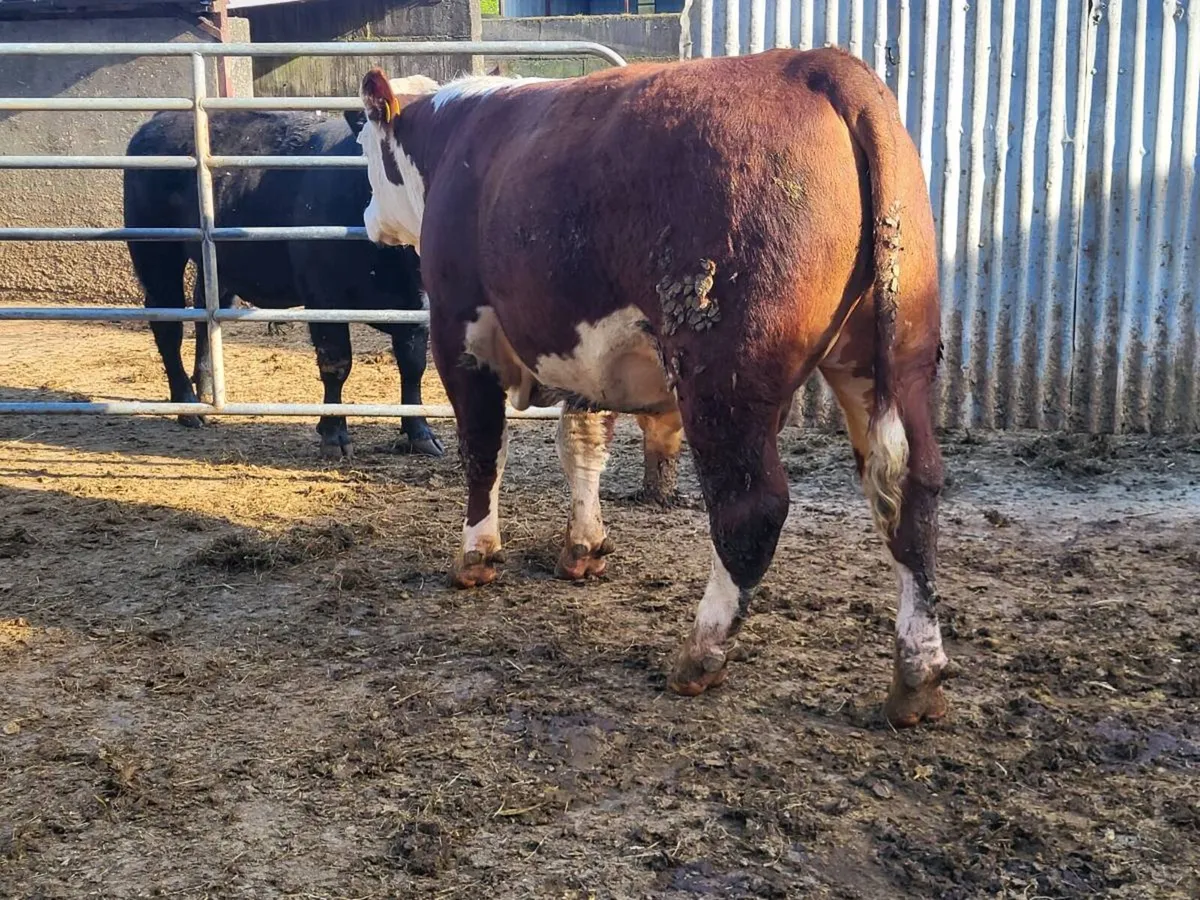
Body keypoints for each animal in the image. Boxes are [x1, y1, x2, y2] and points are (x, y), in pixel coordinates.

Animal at [123, 74, 445, 459]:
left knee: (205, 314)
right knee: (167, 322)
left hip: (215, 263)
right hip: (156, 252)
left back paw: (206, 391)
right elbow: (336, 362)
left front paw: (420, 432)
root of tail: (157, 120)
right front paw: (334, 435)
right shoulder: (323, 297)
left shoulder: (416, 303)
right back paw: (186, 404)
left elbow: (413, 364)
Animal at [358, 48, 950, 727]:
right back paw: (917, 676)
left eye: (363, 144)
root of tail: (821, 65)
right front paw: (584, 547)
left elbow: (482, 451)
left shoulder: (461, 333)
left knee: (751, 507)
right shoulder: (586, 354)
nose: (367, 218)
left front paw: (477, 555)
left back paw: (701, 654)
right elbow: (581, 447)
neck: (453, 141)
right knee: (911, 489)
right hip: (893, 357)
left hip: (723, 377)